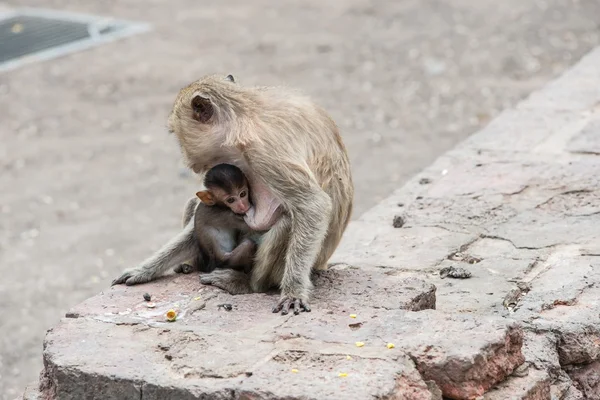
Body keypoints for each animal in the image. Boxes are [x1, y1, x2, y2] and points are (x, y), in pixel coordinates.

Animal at [118, 73, 354, 314]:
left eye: (177, 136)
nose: (186, 159)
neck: (243, 114)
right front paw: (145, 270)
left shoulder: (264, 153)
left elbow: (312, 205)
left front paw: (293, 291)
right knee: (197, 203)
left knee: (286, 222)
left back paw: (248, 284)